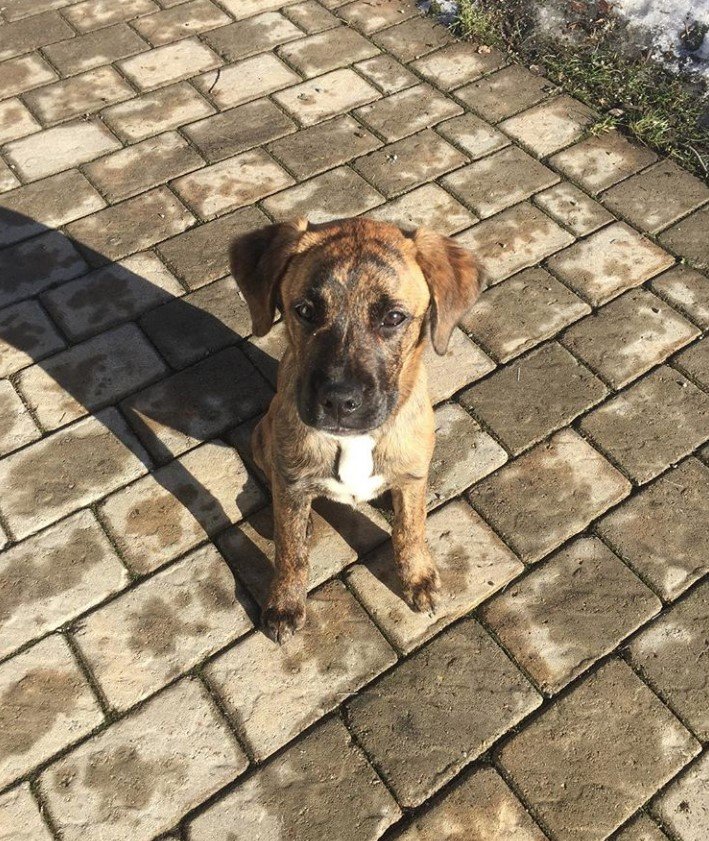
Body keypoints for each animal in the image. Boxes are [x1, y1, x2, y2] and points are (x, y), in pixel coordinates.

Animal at [231, 217, 482, 644]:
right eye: (305, 311)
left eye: (394, 318)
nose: (338, 401)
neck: (354, 442)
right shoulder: (292, 478)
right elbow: (290, 552)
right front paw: (284, 603)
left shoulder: (412, 473)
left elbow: (411, 530)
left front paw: (417, 577)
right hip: (263, 434)